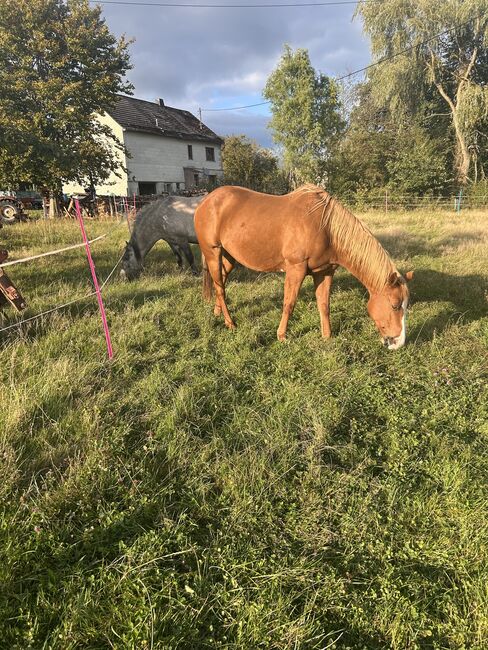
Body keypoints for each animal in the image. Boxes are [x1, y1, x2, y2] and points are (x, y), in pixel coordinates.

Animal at [194, 185, 413, 350]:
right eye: (395, 305)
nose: (398, 343)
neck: (325, 228)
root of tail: (205, 201)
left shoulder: (325, 272)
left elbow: (324, 305)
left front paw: (327, 336)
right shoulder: (296, 269)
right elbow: (289, 304)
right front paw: (282, 336)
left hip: (229, 257)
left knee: (221, 281)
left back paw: (217, 313)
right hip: (213, 252)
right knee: (220, 288)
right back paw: (230, 323)